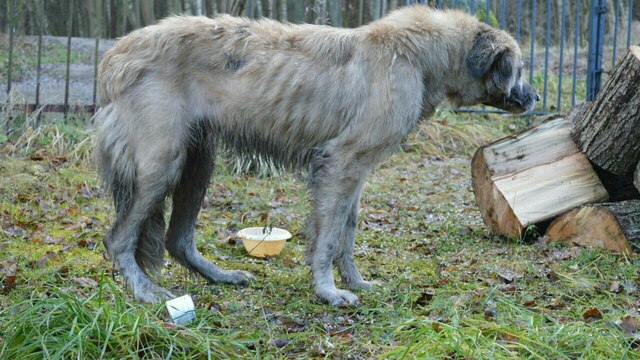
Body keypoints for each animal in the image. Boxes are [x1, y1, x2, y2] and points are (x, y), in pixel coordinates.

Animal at [92, 4, 536, 306]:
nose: (534, 98)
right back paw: (145, 291)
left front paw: (355, 281)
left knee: (177, 239)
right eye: (518, 68)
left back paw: (220, 276)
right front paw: (328, 291)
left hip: (198, 162)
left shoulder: (356, 171)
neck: (415, 54)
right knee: (118, 238)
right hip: (162, 165)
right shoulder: (339, 164)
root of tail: (114, 55)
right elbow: (328, 236)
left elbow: (348, 230)